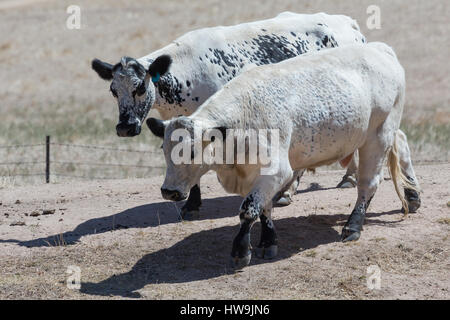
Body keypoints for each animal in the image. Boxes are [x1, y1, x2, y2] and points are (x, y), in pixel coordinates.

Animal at [91, 11, 366, 218]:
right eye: (113, 90)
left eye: (139, 87)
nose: (125, 127)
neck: (186, 73)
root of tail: (347, 23)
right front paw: (192, 203)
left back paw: (338, 179)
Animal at [147, 42, 422, 268]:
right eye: (164, 151)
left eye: (193, 152)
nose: (169, 191)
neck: (243, 118)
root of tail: (380, 48)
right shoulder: (257, 176)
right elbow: (264, 209)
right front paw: (268, 242)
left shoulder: (276, 171)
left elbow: (248, 209)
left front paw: (240, 251)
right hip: (384, 132)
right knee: (402, 142)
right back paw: (413, 195)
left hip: (377, 137)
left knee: (368, 184)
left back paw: (353, 226)